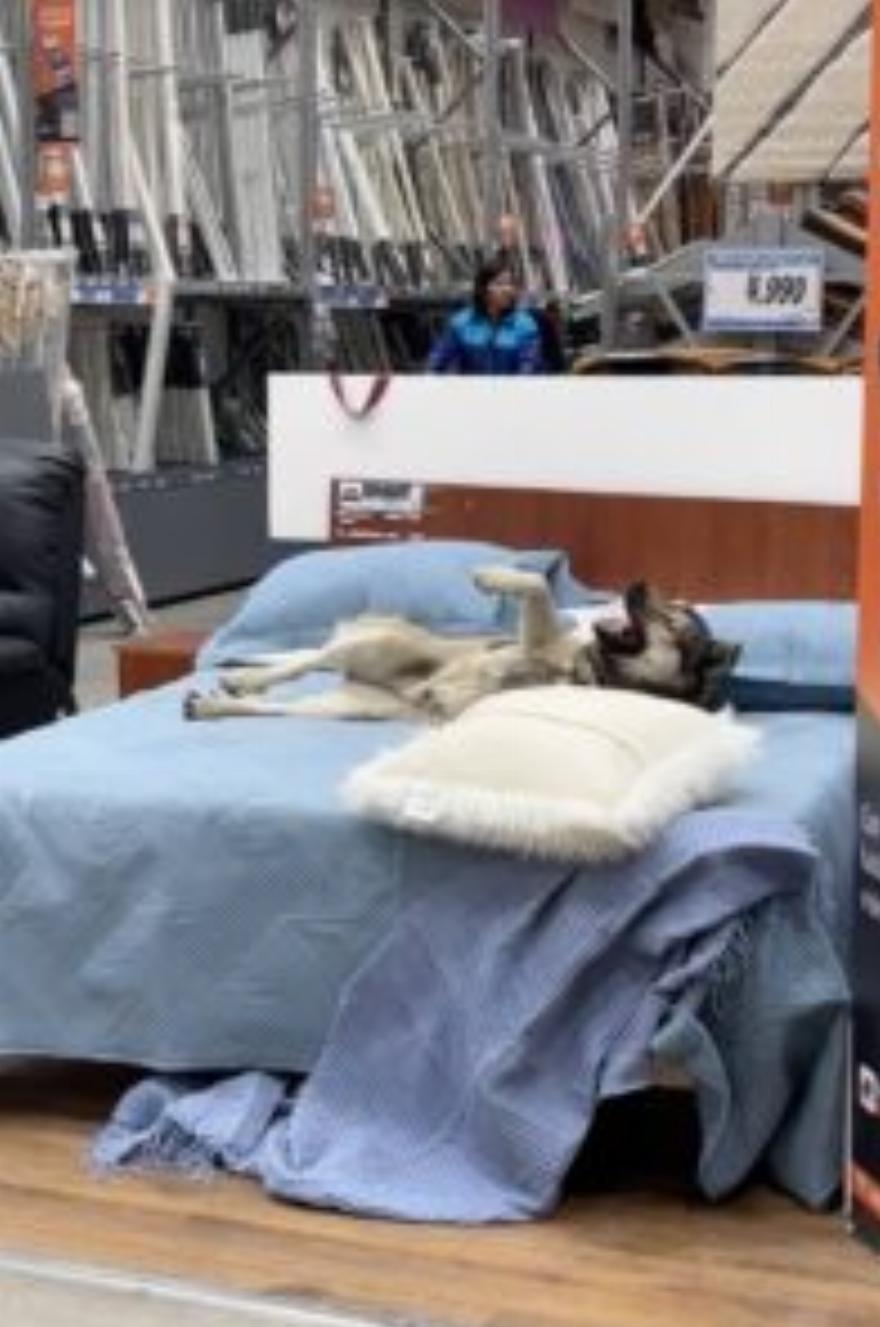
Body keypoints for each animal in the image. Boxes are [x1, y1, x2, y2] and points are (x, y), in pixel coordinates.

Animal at [183, 567, 740, 725]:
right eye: (674, 605)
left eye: (675, 621)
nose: (639, 585)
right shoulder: (536, 636)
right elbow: (535, 582)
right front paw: (490, 575)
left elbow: (539, 585)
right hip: (375, 643)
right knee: (302, 660)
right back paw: (240, 677)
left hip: (350, 706)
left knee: (278, 702)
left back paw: (218, 701)